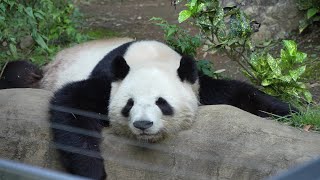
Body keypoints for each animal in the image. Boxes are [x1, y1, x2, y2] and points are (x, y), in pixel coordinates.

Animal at [0, 37, 298, 179]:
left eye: (161, 103)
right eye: (129, 104)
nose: (143, 125)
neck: (151, 58)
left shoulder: (195, 83)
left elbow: (236, 91)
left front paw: (289, 111)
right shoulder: (109, 81)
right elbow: (73, 104)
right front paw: (93, 172)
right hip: (44, 73)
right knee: (20, 73)